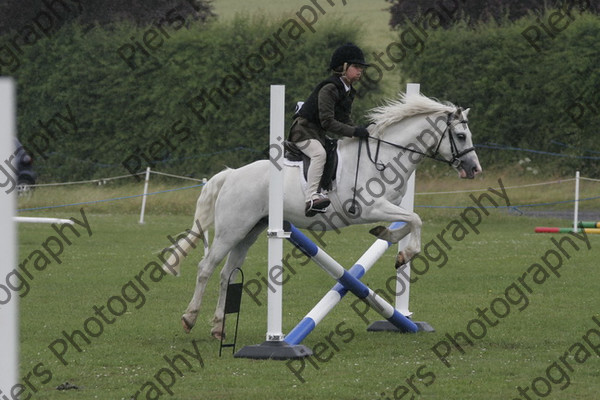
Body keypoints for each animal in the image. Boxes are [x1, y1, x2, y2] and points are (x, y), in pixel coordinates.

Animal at [162, 93, 480, 338]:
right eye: (461, 135)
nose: (474, 169)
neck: (385, 157)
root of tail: (231, 174)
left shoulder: (388, 207)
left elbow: (407, 221)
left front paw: (386, 236)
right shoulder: (369, 208)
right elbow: (415, 220)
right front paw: (405, 254)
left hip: (248, 232)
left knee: (226, 275)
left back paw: (218, 328)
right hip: (232, 230)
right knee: (206, 268)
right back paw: (189, 318)